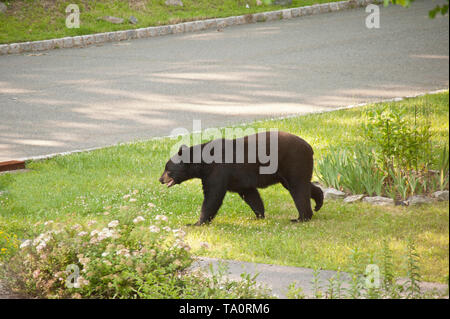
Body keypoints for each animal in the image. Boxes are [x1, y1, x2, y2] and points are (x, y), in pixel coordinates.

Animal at [160, 131, 322, 226]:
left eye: (168, 169)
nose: (160, 179)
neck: (203, 162)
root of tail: (309, 147)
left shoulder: (217, 170)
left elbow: (213, 196)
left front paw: (197, 222)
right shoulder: (240, 178)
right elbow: (250, 194)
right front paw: (259, 215)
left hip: (294, 161)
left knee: (298, 188)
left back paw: (301, 217)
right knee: (302, 185)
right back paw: (318, 202)